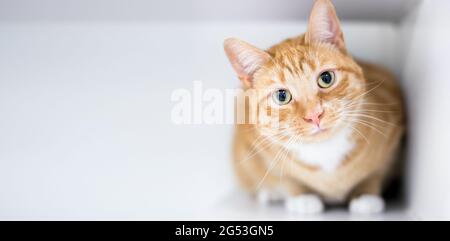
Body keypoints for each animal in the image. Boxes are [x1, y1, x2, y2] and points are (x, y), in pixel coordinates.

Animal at [225, 0, 404, 215]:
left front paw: (366, 195)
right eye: (282, 96)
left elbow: (375, 172)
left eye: (326, 78)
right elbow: (286, 179)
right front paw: (301, 197)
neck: (326, 151)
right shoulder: (257, 148)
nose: (314, 115)